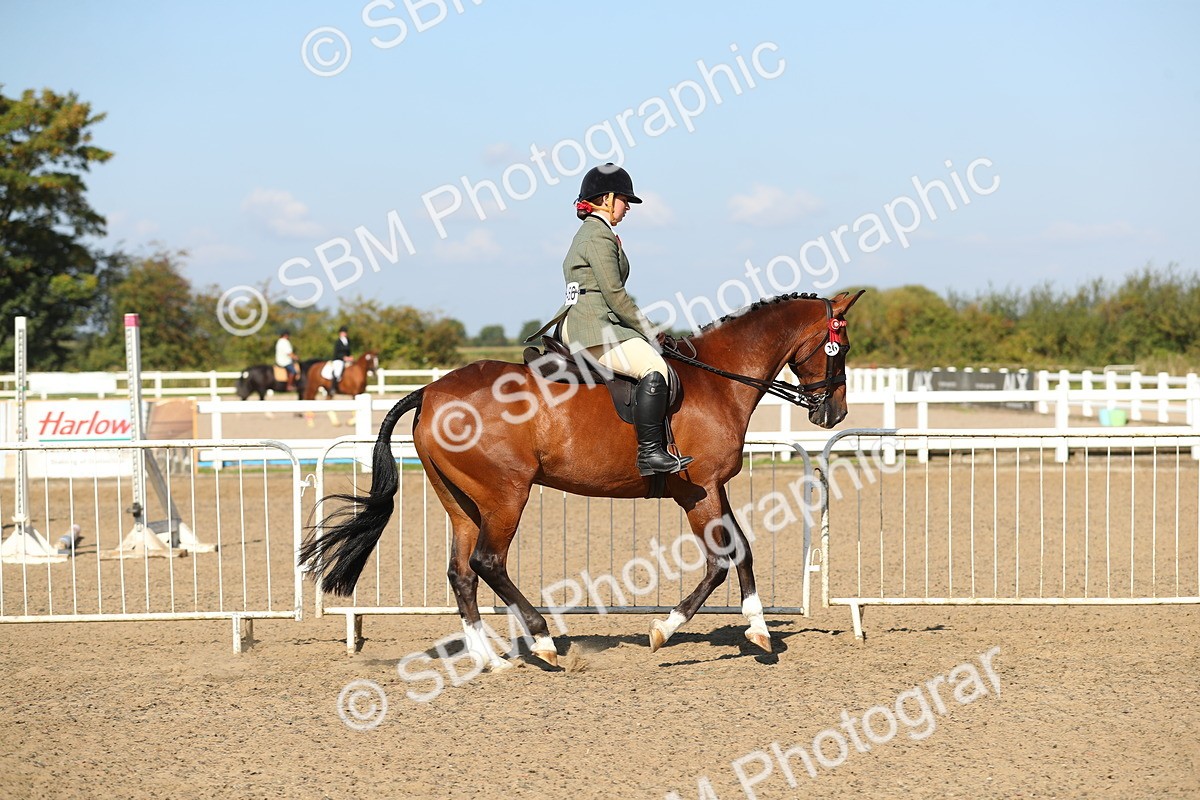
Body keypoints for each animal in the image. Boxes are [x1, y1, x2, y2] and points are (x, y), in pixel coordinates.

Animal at [299, 291, 864, 669]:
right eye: (839, 347)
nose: (833, 414)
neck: (718, 379)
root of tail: (431, 391)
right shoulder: (699, 489)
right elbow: (723, 560)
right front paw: (666, 630)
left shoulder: (709, 490)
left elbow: (739, 552)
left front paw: (756, 631)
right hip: (506, 495)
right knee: (487, 562)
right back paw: (543, 641)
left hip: (461, 502)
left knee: (461, 573)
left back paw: (492, 659)